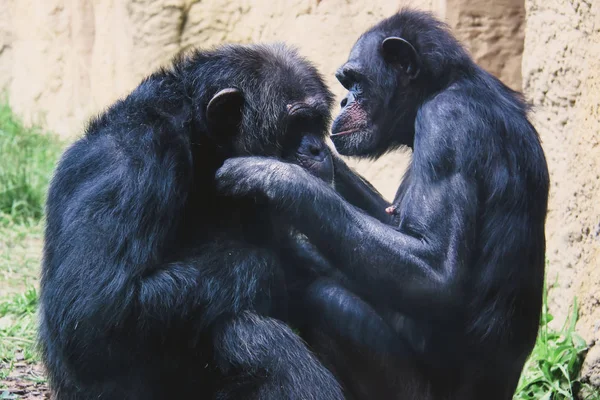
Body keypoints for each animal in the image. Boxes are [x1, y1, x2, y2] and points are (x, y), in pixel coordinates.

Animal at [38, 43, 346, 400]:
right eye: (297, 122)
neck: (203, 143)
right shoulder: (131, 160)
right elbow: (93, 313)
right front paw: (266, 270)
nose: (318, 148)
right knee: (252, 334)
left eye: (316, 121)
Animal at [218, 9, 552, 400]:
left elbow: (437, 270)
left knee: (331, 302)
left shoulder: (446, 126)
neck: (439, 88)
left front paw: (273, 175)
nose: (344, 102)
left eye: (355, 82)